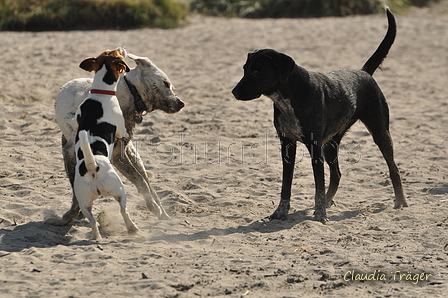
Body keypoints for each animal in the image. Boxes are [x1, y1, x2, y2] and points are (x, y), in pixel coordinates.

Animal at [73, 48, 138, 240]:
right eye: (117, 53)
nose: (121, 47)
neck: (101, 91)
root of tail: (92, 166)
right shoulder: (122, 129)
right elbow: (124, 133)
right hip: (119, 190)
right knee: (124, 210)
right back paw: (132, 228)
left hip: (84, 203)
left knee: (93, 221)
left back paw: (97, 237)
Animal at [233, 8, 408, 221]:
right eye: (245, 69)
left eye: (256, 72)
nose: (234, 92)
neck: (291, 95)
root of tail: (364, 71)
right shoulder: (287, 145)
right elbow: (286, 185)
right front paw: (281, 211)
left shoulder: (315, 147)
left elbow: (318, 185)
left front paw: (320, 213)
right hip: (331, 144)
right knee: (337, 174)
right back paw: (328, 200)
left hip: (380, 132)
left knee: (393, 168)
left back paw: (400, 201)